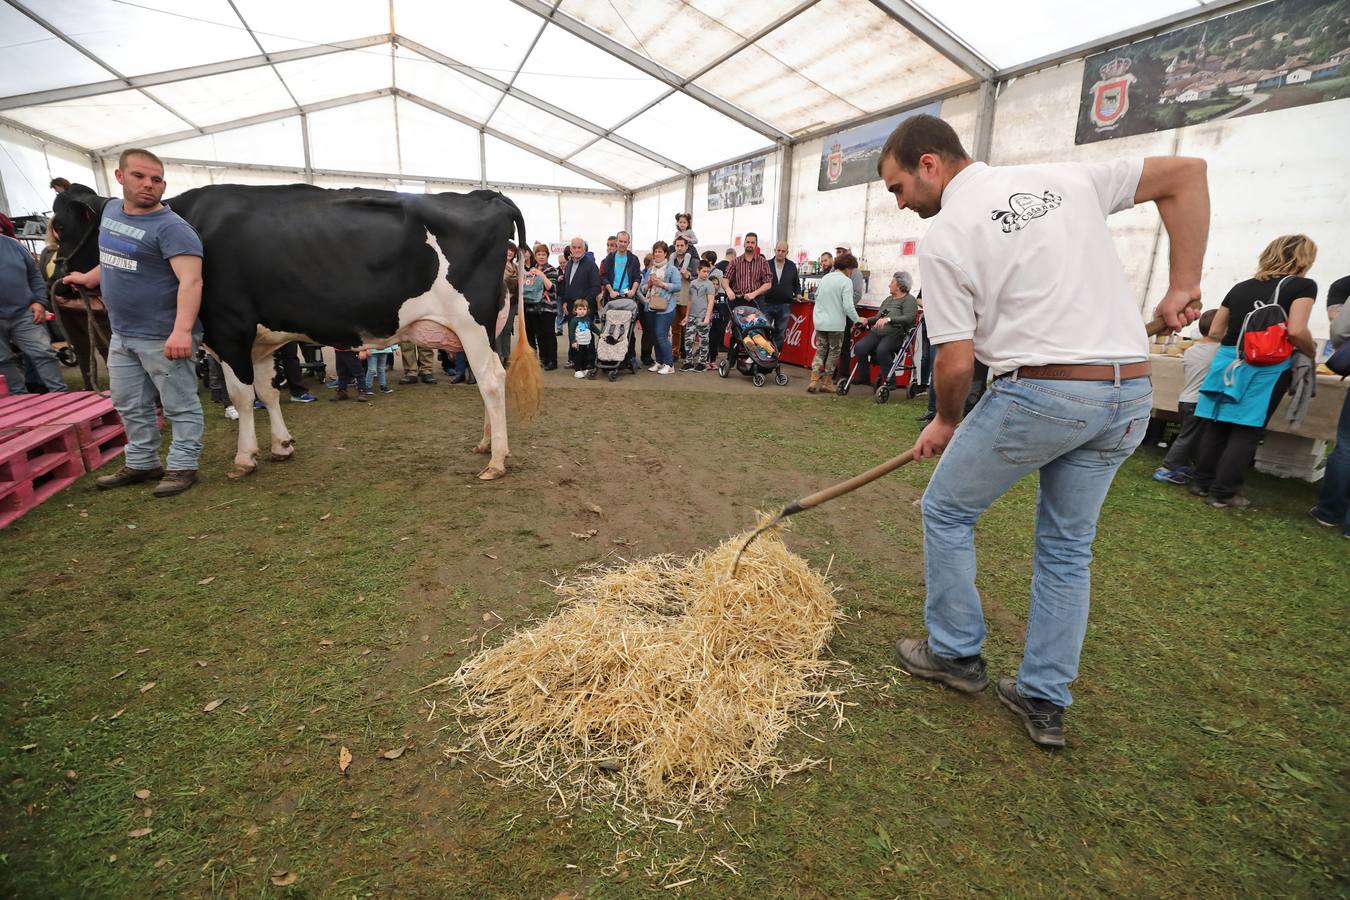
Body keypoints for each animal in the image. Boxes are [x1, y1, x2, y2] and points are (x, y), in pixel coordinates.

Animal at [52, 182, 537, 477]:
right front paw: (281, 445)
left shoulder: (229, 329)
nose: (59, 285)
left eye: (60, 225)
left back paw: (497, 460)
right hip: (487, 326)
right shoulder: (261, 341)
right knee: (488, 383)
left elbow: (242, 395)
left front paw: (245, 458)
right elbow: (267, 391)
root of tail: (488, 195)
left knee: (491, 380)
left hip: (471, 321)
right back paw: (485, 444)